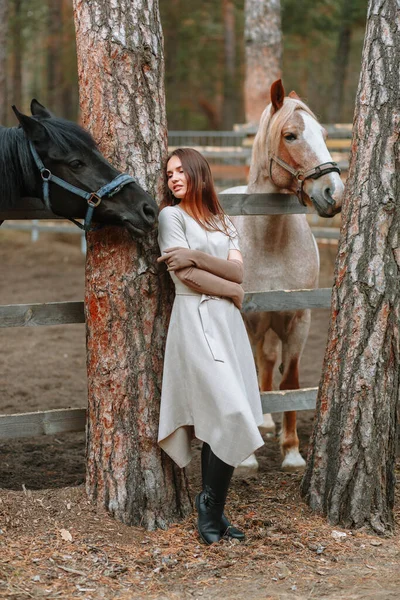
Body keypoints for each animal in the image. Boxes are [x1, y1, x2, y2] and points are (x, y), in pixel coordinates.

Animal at [225, 81, 344, 474]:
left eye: (324, 134)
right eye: (290, 135)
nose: (334, 193)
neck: (271, 241)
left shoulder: (298, 319)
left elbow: (289, 381)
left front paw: (291, 451)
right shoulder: (247, 320)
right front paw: (246, 458)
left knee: (267, 363)